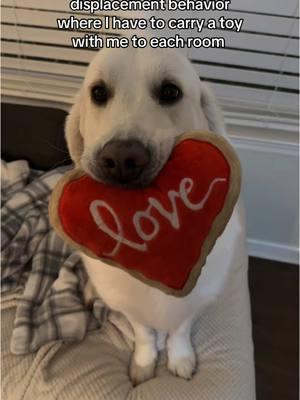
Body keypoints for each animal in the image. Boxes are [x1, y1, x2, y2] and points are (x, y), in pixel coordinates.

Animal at [65, 46, 244, 384]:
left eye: (170, 91)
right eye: (98, 93)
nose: (122, 159)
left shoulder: (193, 300)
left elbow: (179, 332)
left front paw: (180, 358)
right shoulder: (131, 309)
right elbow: (145, 335)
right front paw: (145, 363)